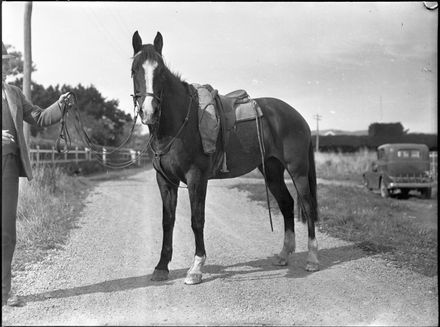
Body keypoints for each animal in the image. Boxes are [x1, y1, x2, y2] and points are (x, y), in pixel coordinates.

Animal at [129, 31, 318, 288]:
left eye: (161, 72)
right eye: (134, 70)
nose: (149, 112)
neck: (179, 123)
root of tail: (298, 117)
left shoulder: (196, 178)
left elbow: (197, 220)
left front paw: (196, 269)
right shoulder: (165, 181)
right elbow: (167, 222)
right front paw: (161, 268)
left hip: (297, 171)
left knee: (307, 206)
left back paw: (312, 259)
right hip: (272, 170)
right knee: (287, 204)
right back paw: (283, 255)